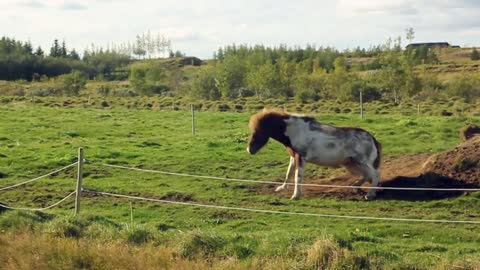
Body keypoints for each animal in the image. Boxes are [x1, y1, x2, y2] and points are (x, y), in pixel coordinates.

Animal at [246, 109, 380, 200]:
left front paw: (295, 195)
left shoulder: (301, 158)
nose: (249, 150)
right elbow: (289, 173)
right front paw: (281, 188)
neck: (295, 131)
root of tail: (372, 138)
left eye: (259, 131)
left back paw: (370, 194)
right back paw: (356, 187)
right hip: (351, 163)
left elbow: (297, 176)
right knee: (367, 175)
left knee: (375, 175)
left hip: (362, 162)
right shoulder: (293, 157)